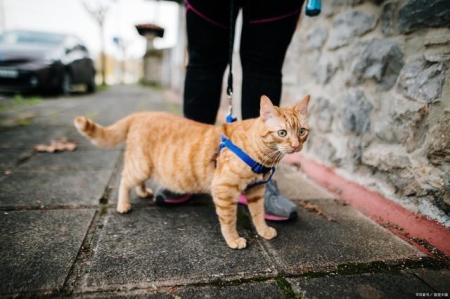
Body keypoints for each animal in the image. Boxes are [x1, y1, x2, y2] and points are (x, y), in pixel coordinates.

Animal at [75, 95, 312, 250]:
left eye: (302, 131)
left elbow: (258, 214)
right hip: (141, 166)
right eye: (282, 133)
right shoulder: (224, 189)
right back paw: (123, 204)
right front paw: (233, 239)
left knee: (136, 181)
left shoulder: (256, 191)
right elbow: (229, 220)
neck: (262, 156)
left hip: (145, 167)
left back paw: (143, 192)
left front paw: (263, 230)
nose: (295, 146)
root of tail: (141, 114)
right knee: (125, 179)